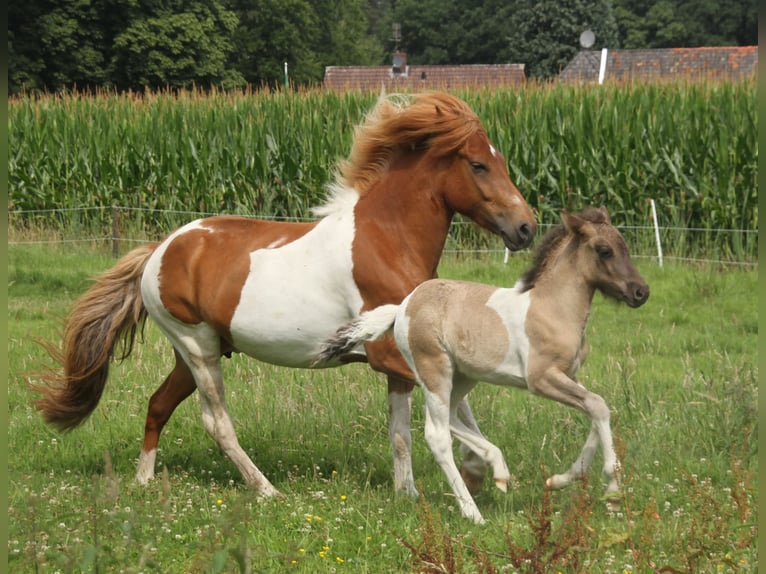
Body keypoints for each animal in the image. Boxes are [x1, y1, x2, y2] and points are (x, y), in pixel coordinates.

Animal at [32, 91, 536, 499]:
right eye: (478, 164)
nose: (526, 228)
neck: (387, 241)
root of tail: (161, 248)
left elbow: (409, 428)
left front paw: (418, 492)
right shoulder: (387, 353)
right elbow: (437, 415)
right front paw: (483, 472)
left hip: (195, 351)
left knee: (158, 404)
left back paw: (143, 481)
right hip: (198, 349)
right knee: (216, 422)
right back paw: (266, 490)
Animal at [317, 207, 649, 523]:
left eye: (625, 245)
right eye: (604, 250)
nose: (641, 292)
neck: (552, 308)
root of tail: (402, 307)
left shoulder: (569, 375)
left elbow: (597, 409)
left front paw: (559, 480)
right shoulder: (541, 379)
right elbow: (598, 406)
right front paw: (613, 493)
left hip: (464, 376)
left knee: (451, 418)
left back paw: (498, 469)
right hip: (434, 370)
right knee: (437, 434)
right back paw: (473, 513)